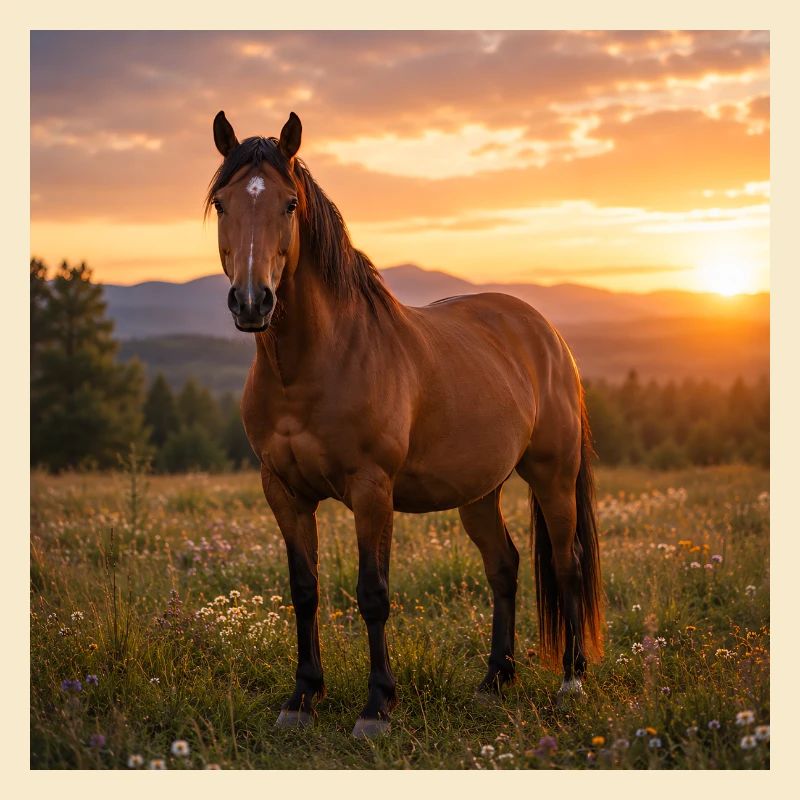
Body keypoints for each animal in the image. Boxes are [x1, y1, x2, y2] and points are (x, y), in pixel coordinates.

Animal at [206, 110, 604, 739]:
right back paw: (495, 681)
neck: (313, 364)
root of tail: (546, 334)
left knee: (567, 565)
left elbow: (373, 593)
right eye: (223, 204)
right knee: (504, 566)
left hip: (553, 476)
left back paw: (570, 682)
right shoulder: (283, 491)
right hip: (480, 491)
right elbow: (303, 590)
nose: (252, 302)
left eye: (289, 204)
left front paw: (376, 706)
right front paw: (302, 698)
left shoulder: (373, 490)